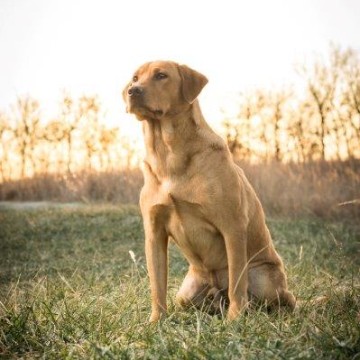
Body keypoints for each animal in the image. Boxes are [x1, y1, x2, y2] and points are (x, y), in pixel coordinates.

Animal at [124, 60, 296, 322]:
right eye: (135, 78)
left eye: (161, 75)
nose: (133, 91)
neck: (167, 153)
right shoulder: (154, 233)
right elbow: (157, 285)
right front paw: (156, 321)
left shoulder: (232, 226)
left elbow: (237, 282)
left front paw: (235, 319)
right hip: (186, 293)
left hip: (264, 278)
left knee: (282, 297)